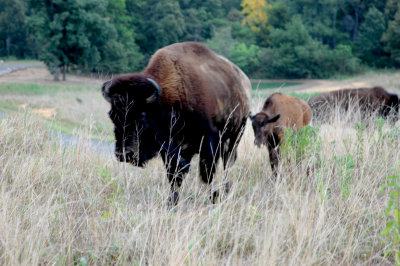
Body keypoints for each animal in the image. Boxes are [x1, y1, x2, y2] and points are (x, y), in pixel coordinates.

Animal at [101, 42, 252, 206]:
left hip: (235, 135)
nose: (124, 154)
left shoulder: (209, 144)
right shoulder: (171, 150)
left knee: (228, 163)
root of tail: (243, 80)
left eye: (141, 117)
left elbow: (206, 174)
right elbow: (174, 175)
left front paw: (213, 197)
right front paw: (172, 203)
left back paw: (226, 189)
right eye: (112, 116)